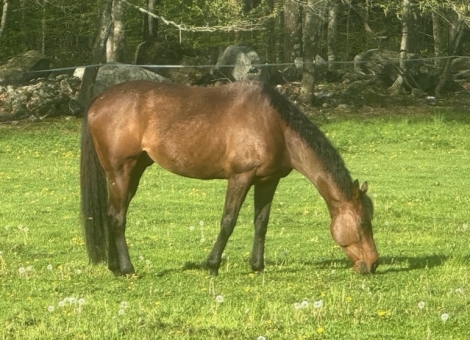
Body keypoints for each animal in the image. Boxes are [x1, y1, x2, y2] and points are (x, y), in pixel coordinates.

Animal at [81, 79, 380, 276]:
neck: (274, 124)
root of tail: (98, 99)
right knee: (117, 217)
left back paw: (114, 267)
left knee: (112, 214)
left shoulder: (268, 181)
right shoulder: (240, 177)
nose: (374, 263)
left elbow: (261, 223)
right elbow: (228, 221)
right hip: (121, 171)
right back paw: (127, 268)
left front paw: (257, 266)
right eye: (363, 223)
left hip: (133, 171)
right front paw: (212, 265)